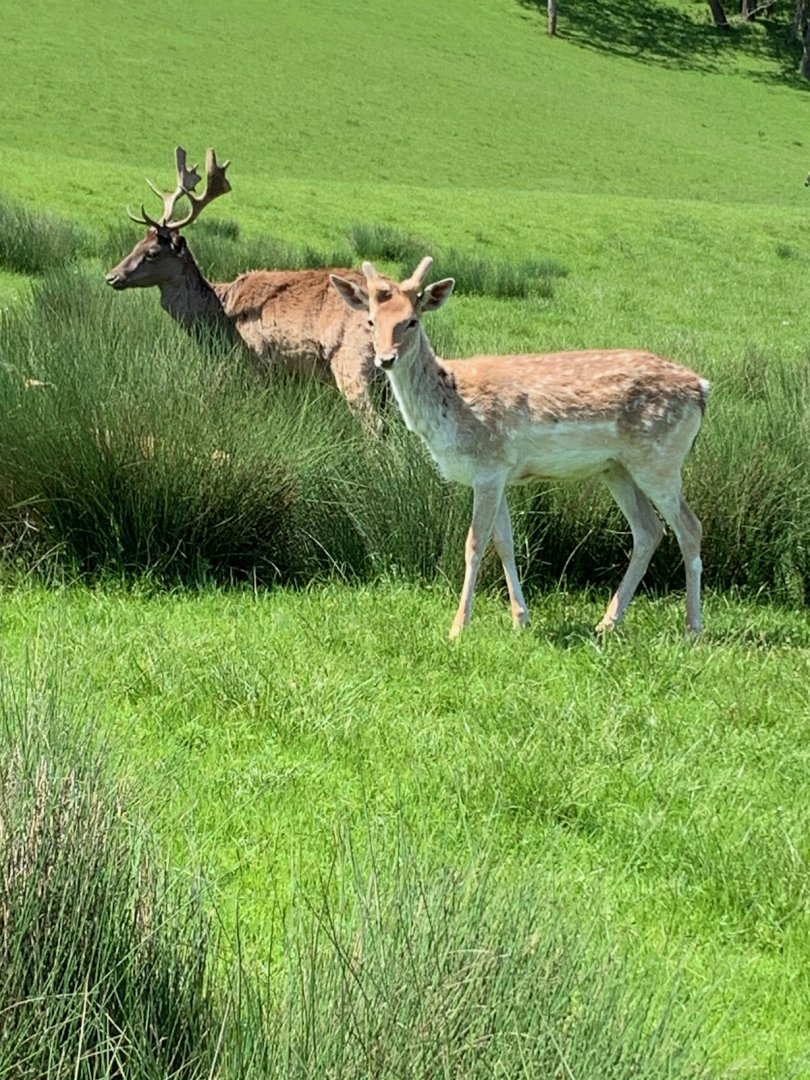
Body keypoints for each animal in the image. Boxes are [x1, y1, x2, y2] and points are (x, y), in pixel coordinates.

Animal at [105, 147, 379, 422]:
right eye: (136, 244)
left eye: (152, 253)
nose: (111, 276)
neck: (222, 319)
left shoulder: (256, 359)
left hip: (352, 361)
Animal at [330, 258, 710, 639]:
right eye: (371, 321)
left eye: (412, 320)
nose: (385, 359)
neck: (450, 405)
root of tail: (703, 389)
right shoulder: (499, 473)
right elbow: (504, 542)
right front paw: (520, 618)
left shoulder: (488, 465)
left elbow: (474, 543)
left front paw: (458, 627)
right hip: (617, 468)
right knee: (649, 530)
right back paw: (607, 622)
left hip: (660, 460)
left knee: (690, 527)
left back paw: (693, 627)